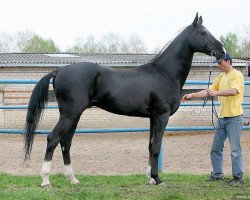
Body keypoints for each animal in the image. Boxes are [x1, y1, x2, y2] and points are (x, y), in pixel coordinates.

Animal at [24, 13, 225, 187]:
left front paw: (150, 177)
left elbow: (150, 145)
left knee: (66, 142)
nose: (222, 51)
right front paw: (157, 178)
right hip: (70, 114)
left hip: (73, 115)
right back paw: (46, 181)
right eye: (203, 33)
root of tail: (59, 70)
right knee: (53, 139)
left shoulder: (153, 117)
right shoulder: (162, 115)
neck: (164, 73)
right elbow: (156, 146)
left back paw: (73, 179)